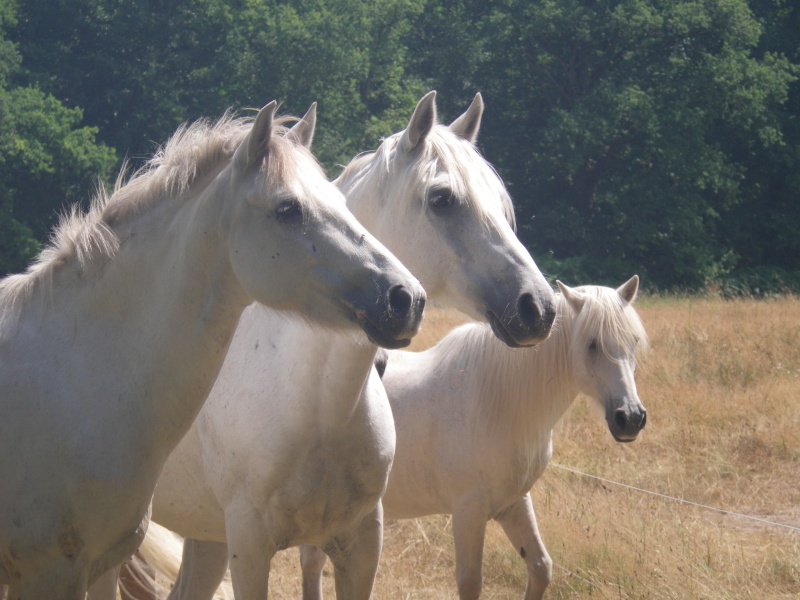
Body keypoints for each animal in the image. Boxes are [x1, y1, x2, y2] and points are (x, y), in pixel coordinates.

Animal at [128, 90, 556, 600]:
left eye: (503, 206)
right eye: (442, 199)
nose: (538, 307)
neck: (316, 404)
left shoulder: (360, 545)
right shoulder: (250, 549)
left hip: (205, 537)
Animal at [304, 274, 648, 596]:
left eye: (633, 342)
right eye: (592, 344)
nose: (630, 418)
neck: (500, 403)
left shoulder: (514, 503)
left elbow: (541, 568)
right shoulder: (468, 512)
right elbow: (470, 582)